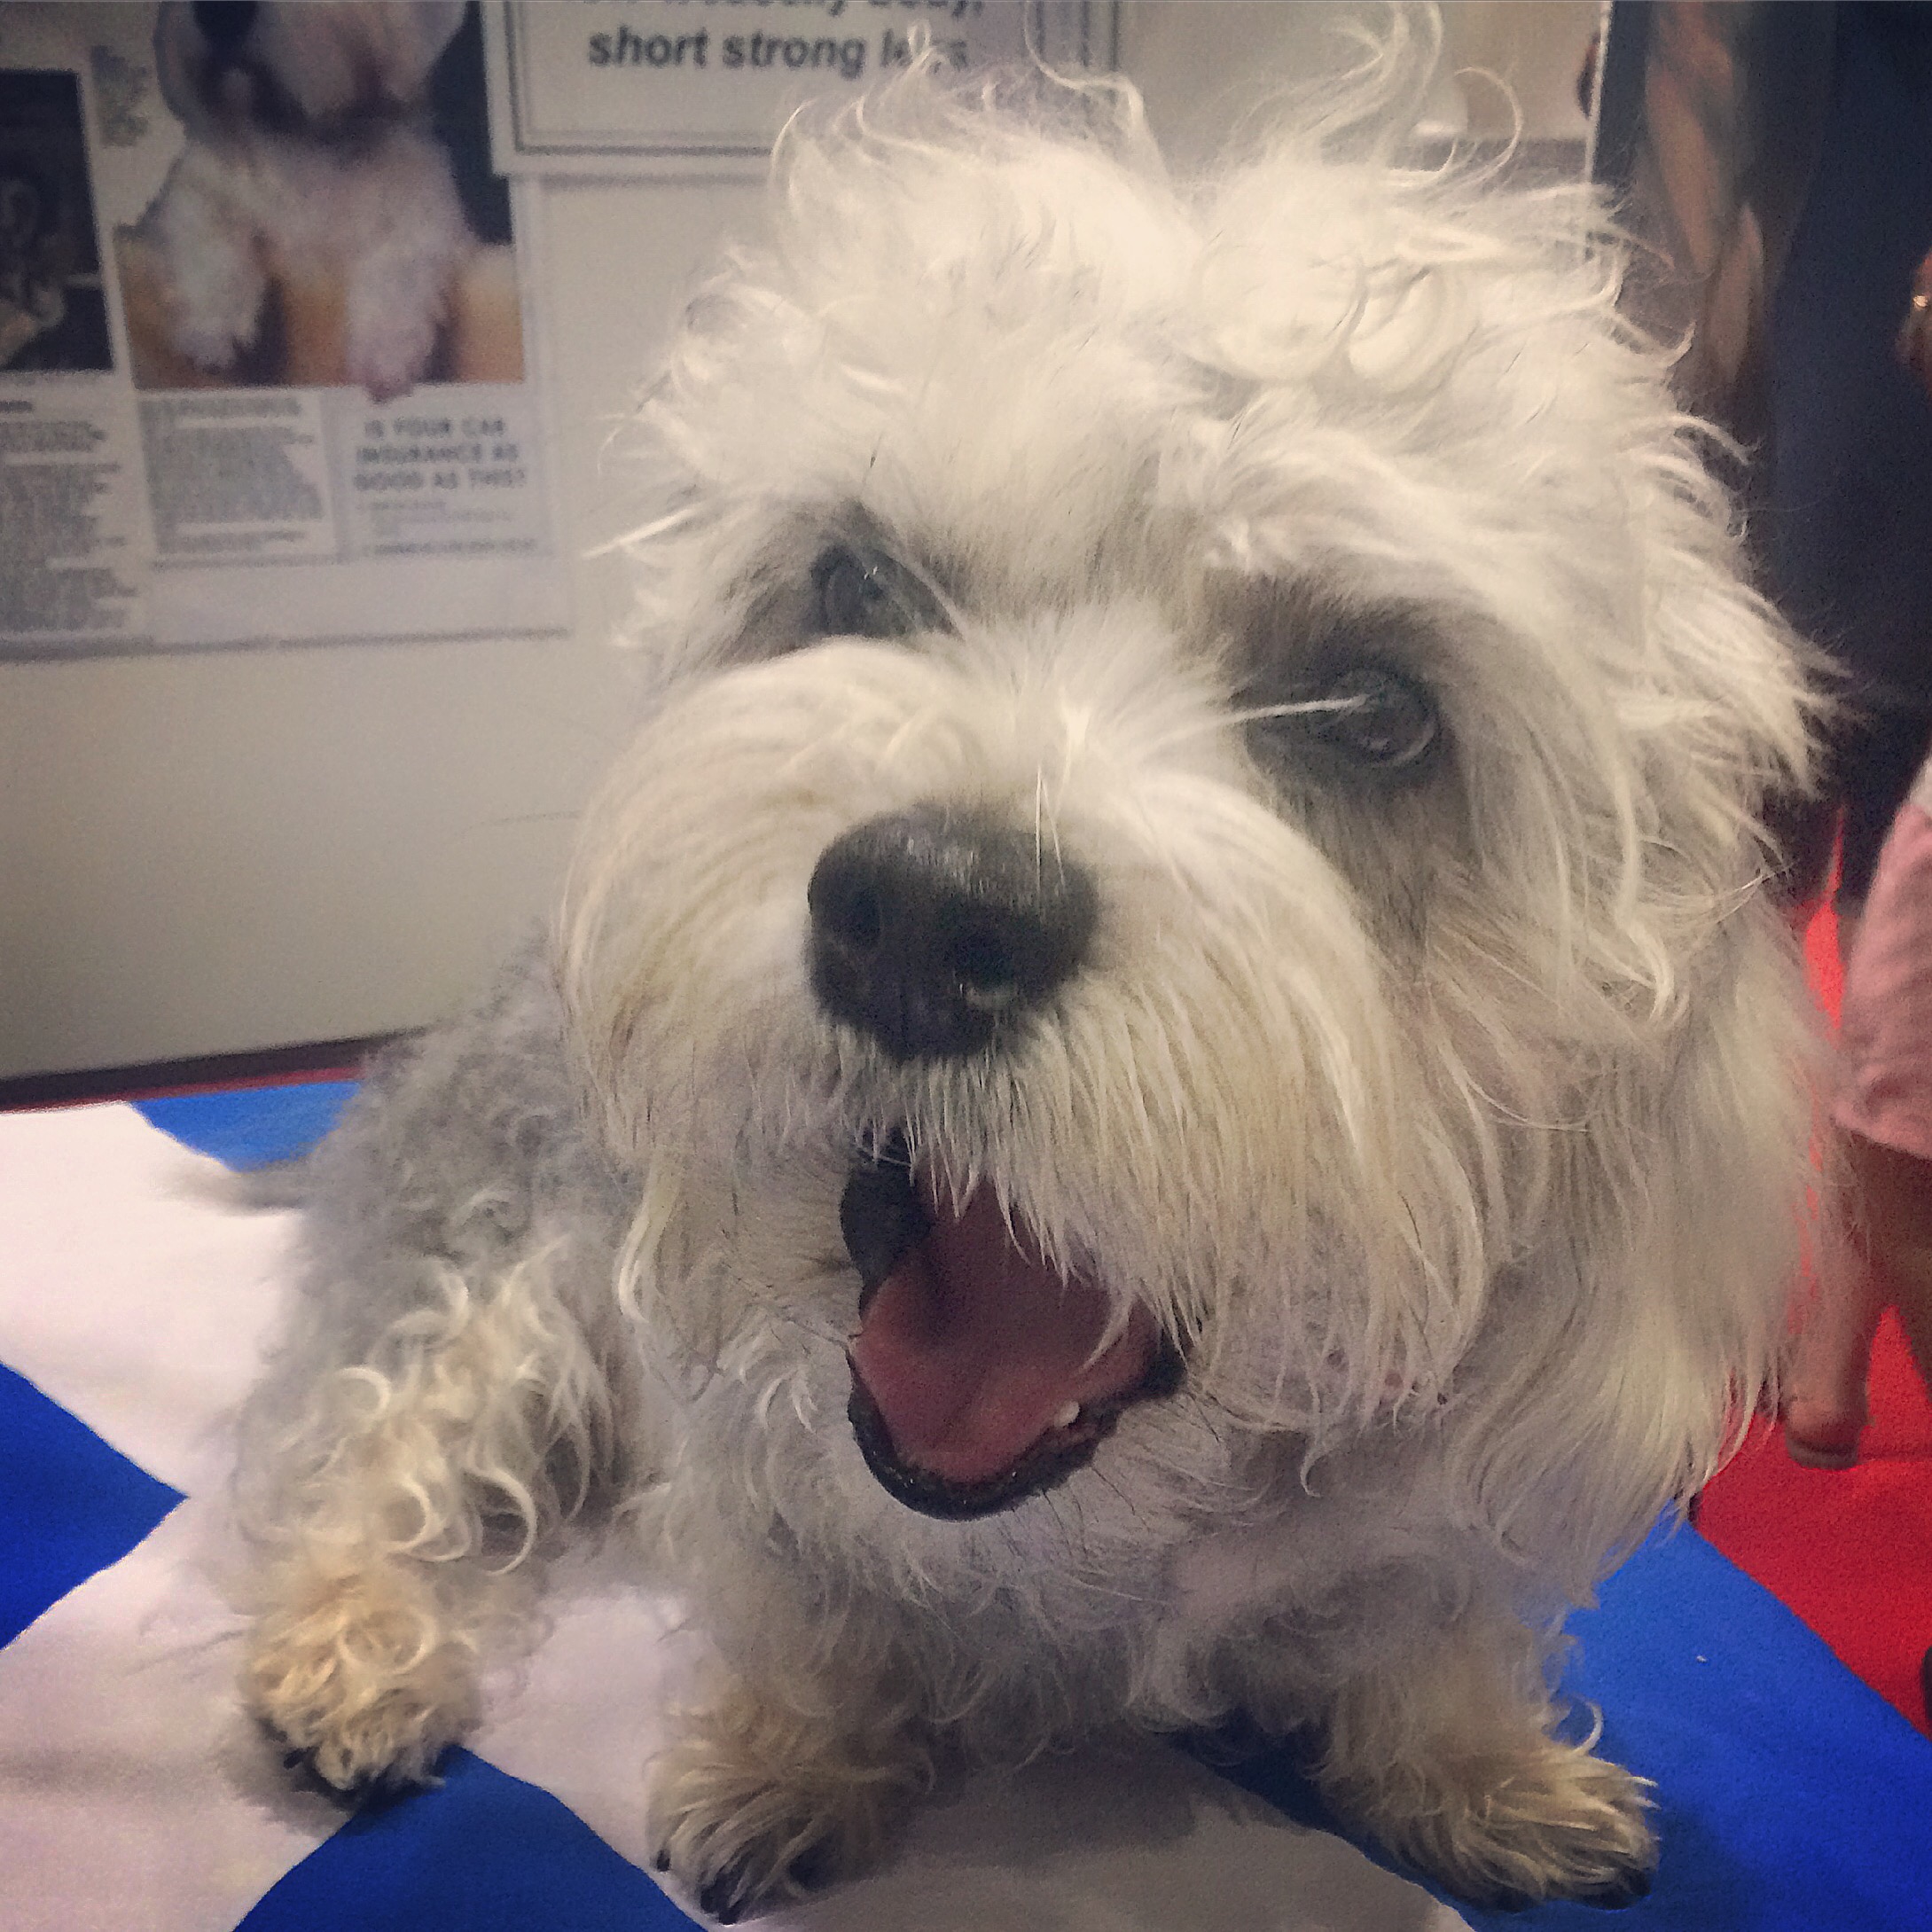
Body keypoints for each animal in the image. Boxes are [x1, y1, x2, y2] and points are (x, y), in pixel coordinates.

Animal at [134, 0, 471, 400]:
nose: (220, 12)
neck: (302, 143)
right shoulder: (193, 192)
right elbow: (208, 241)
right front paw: (211, 324)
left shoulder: (428, 213)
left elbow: (402, 263)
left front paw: (385, 349)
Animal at [235, 41, 1819, 1922]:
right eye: (854, 578)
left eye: (1374, 709)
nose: (921, 918)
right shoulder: (742, 1447)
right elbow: (802, 1611)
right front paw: (787, 1758)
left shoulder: (1434, 1515)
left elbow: (1414, 1631)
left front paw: (1470, 1771)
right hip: (477, 1272)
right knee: (366, 1450)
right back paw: (350, 1651)